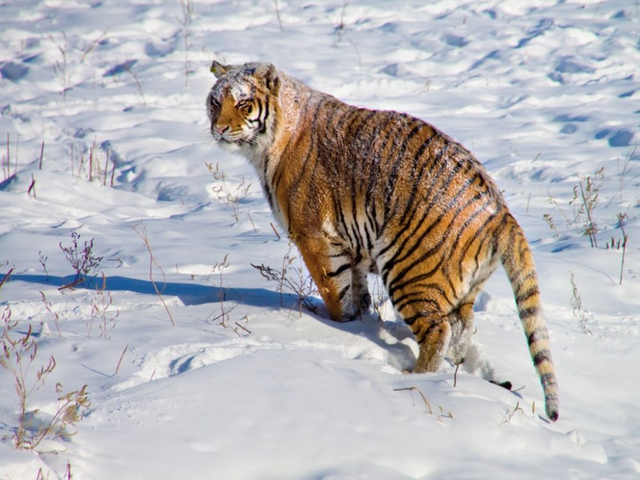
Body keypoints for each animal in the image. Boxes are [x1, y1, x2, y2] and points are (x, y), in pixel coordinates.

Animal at [206, 61, 559, 422]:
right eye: (215, 102)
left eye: (243, 103)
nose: (218, 129)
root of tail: (499, 209)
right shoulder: (351, 246)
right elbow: (356, 290)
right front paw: (360, 322)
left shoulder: (314, 237)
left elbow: (335, 294)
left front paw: (340, 326)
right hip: (463, 286)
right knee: (462, 325)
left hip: (409, 270)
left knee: (438, 330)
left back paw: (416, 378)